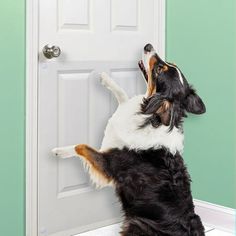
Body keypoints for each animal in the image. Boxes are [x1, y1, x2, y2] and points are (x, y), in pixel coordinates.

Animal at [52, 43, 206, 234]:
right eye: (169, 64)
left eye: (159, 70)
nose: (148, 45)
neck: (150, 117)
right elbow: (124, 95)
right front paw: (106, 78)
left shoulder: (108, 164)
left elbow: (82, 146)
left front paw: (58, 151)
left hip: (137, 223)